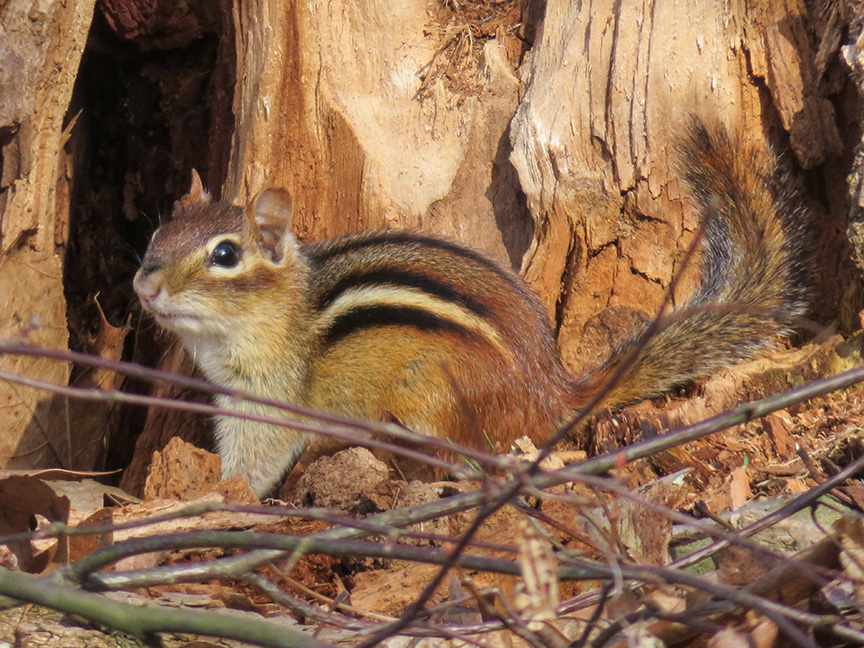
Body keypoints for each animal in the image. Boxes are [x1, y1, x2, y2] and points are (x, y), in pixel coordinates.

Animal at [134, 121, 810, 497]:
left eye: (225, 255)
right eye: (159, 232)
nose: (145, 287)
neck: (281, 312)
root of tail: (552, 389)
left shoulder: (270, 398)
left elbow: (259, 457)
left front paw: (218, 497)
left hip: (428, 394)